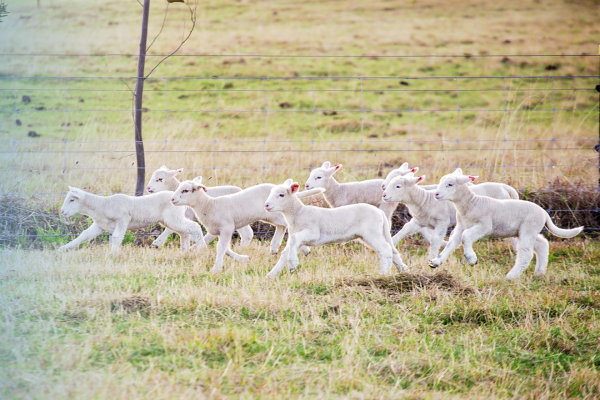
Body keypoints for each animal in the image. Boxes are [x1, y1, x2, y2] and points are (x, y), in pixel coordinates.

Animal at [58, 187, 204, 253]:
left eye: (72, 200)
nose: (62, 211)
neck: (102, 204)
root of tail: (177, 198)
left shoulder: (123, 219)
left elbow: (116, 237)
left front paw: (113, 254)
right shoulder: (100, 225)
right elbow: (84, 235)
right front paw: (64, 248)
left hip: (173, 218)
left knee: (194, 227)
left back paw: (201, 247)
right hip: (171, 219)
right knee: (184, 232)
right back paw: (184, 250)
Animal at [169, 177, 310, 272]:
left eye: (185, 190)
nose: (172, 199)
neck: (209, 205)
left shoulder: (227, 227)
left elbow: (221, 247)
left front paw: (216, 268)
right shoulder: (218, 230)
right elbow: (225, 248)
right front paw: (243, 258)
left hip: (276, 214)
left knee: (289, 226)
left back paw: (303, 249)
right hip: (271, 216)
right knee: (282, 227)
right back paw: (275, 247)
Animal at [264, 179, 408, 278]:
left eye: (281, 195)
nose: (266, 205)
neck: (299, 213)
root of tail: (380, 213)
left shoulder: (313, 233)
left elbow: (294, 239)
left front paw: (293, 264)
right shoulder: (297, 236)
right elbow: (285, 253)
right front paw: (272, 274)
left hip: (372, 233)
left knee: (386, 249)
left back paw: (382, 273)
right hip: (373, 234)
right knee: (392, 251)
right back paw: (403, 270)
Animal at [428, 169, 584, 278]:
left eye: (450, 184)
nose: (436, 194)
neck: (472, 203)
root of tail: (544, 213)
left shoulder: (484, 226)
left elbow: (466, 237)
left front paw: (472, 259)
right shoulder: (461, 226)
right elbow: (451, 243)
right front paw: (436, 262)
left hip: (528, 229)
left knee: (526, 254)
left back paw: (510, 276)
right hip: (524, 231)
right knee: (542, 244)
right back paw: (539, 273)